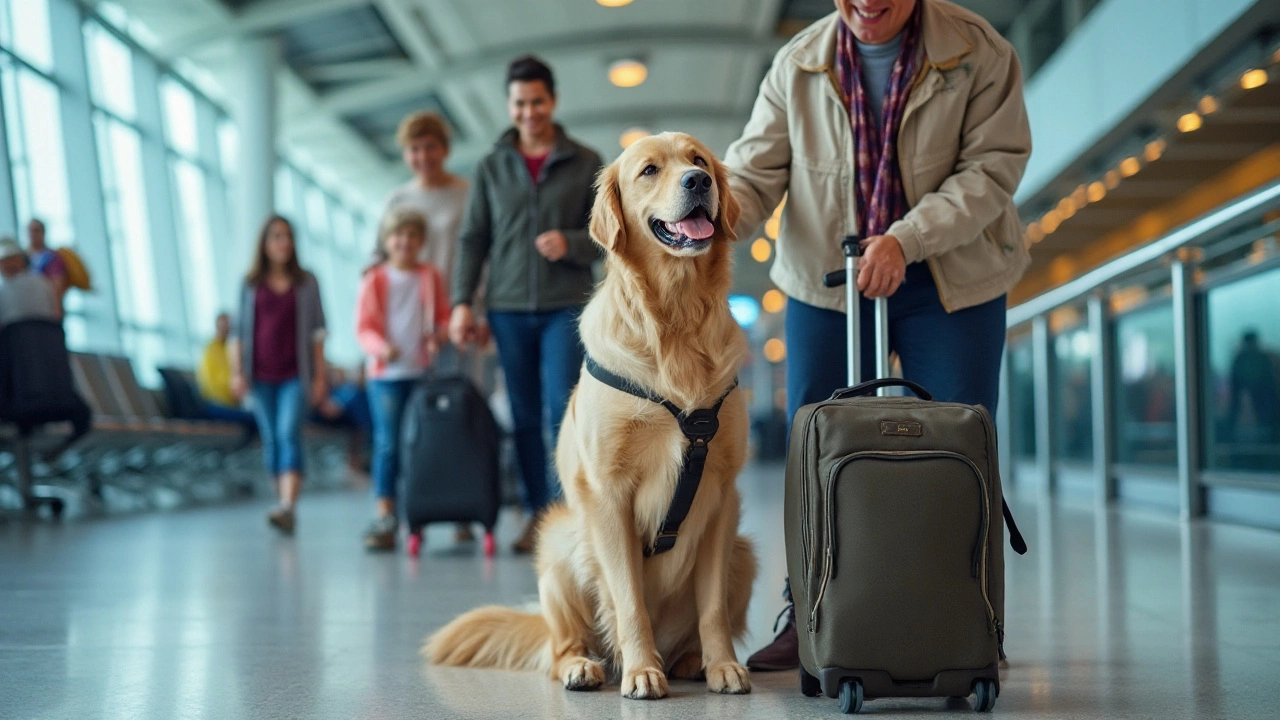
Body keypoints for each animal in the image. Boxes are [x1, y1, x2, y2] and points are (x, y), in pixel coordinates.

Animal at [424, 133, 752, 696]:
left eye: (699, 160)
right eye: (649, 170)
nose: (699, 182)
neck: (675, 318)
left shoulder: (721, 494)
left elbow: (712, 608)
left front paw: (723, 665)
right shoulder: (608, 493)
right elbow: (628, 600)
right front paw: (641, 671)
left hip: (744, 553)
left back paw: (690, 660)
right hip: (559, 543)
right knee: (562, 646)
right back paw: (586, 665)